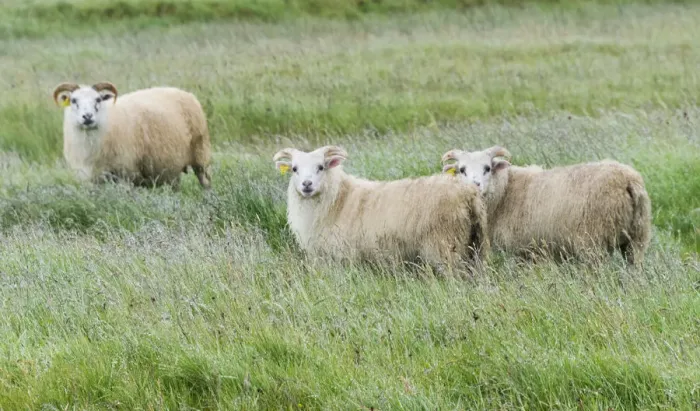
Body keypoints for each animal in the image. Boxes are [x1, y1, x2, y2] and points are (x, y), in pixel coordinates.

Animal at [52, 81, 211, 189]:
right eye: (74, 100)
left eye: (98, 99)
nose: (87, 117)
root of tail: (185, 93)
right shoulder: (92, 179)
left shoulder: (125, 174)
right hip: (170, 167)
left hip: (200, 153)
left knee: (205, 181)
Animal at [273, 145, 490, 272]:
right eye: (294, 169)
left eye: (320, 167)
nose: (306, 184)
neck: (337, 200)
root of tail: (467, 193)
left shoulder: (342, 257)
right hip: (475, 245)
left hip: (446, 247)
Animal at [441, 146, 652, 265]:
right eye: (462, 169)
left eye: (487, 168)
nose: (474, 185)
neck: (505, 192)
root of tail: (628, 180)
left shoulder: (524, 251)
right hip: (637, 238)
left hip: (594, 242)